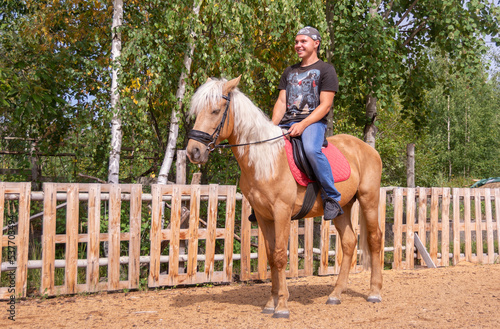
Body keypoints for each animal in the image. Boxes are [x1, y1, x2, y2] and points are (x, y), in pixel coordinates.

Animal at [188, 75, 382, 316]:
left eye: (215, 111)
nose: (193, 151)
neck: (265, 160)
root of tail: (367, 148)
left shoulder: (281, 212)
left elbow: (280, 255)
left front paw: (281, 306)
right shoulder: (263, 216)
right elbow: (271, 256)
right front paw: (270, 303)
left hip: (369, 200)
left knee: (374, 239)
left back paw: (374, 292)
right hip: (341, 208)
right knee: (348, 242)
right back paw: (336, 294)